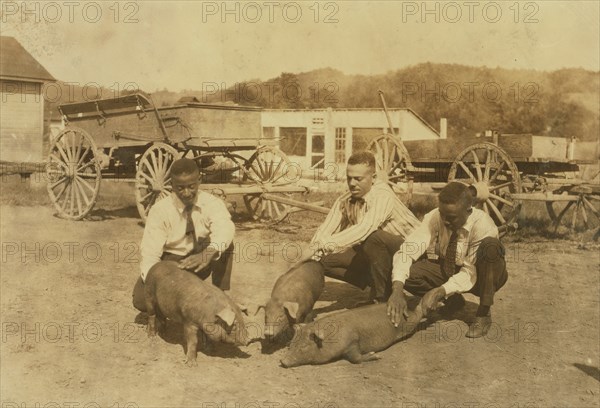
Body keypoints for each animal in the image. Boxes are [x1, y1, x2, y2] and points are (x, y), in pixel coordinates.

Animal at [280, 302, 424, 366]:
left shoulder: (352, 342)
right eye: (291, 344)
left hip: (410, 322)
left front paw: (375, 355)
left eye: (304, 346)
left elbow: (355, 358)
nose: (282, 361)